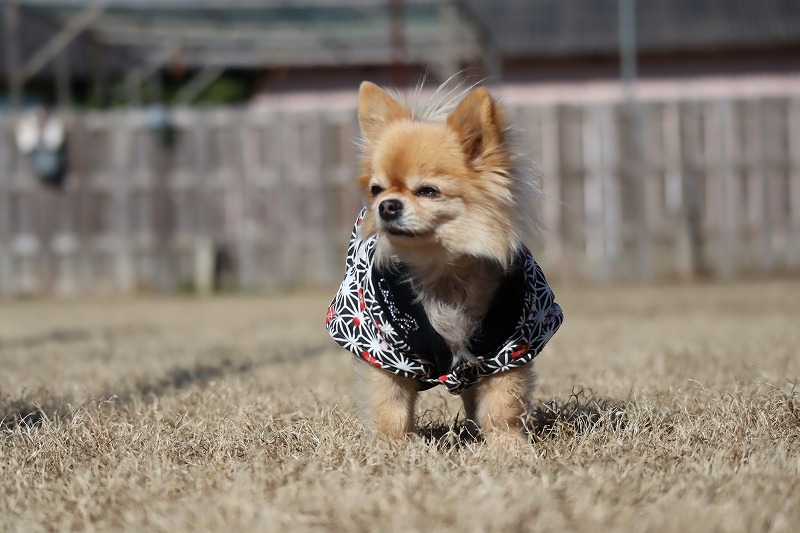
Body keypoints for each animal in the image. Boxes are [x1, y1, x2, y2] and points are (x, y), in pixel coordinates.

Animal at [326, 80, 563, 444]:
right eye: (377, 189)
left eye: (428, 191)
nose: (386, 205)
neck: (444, 269)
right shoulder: (384, 351)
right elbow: (391, 407)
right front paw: (393, 447)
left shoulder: (507, 350)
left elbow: (501, 407)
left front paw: (508, 447)